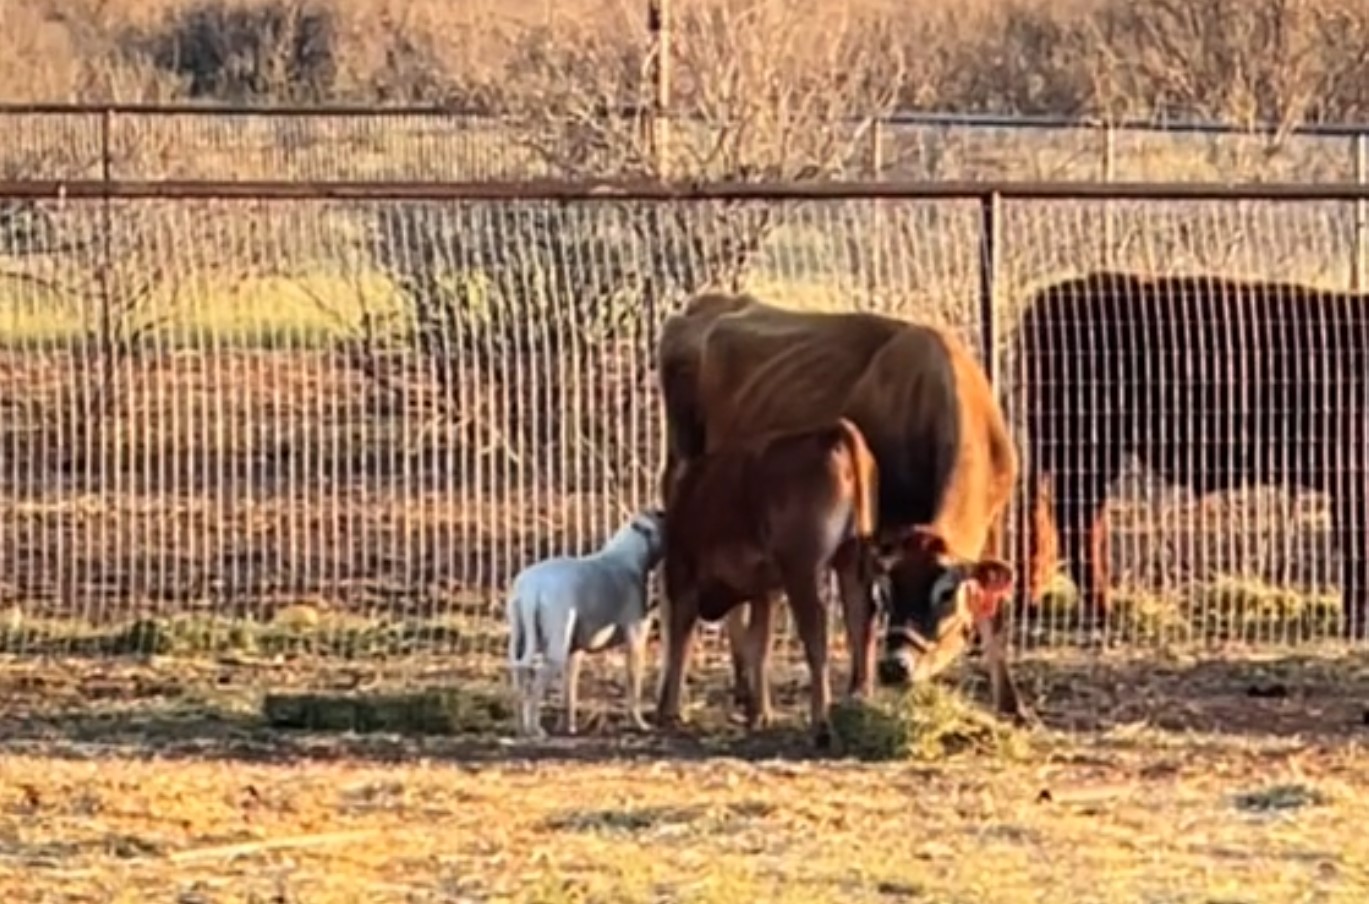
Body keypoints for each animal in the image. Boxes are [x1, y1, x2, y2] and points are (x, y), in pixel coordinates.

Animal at [509, 509, 668, 734]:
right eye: (660, 517)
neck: (627, 556)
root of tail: (532, 587)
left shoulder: (574, 653)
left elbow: (569, 693)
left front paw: (568, 726)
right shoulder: (636, 643)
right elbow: (633, 687)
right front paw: (639, 723)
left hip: (519, 643)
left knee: (519, 677)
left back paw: (520, 726)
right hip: (555, 652)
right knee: (535, 685)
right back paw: (535, 729)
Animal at [657, 416, 892, 750]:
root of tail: (831, 433)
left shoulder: (683, 575)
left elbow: (681, 640)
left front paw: (670, 712)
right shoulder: (765, 590)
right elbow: (759, 643)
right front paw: (760, 714)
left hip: (804, 572)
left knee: (817, 643)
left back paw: (821, 726)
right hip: (850, 564)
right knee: (860, 625)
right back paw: (858, 706)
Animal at [1018, 272, 1369, 638]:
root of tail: (1047, 298)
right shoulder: (1352, 476)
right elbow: (1358, 546)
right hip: (1088, 449)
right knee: (1077, 521)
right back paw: (1103, 612)